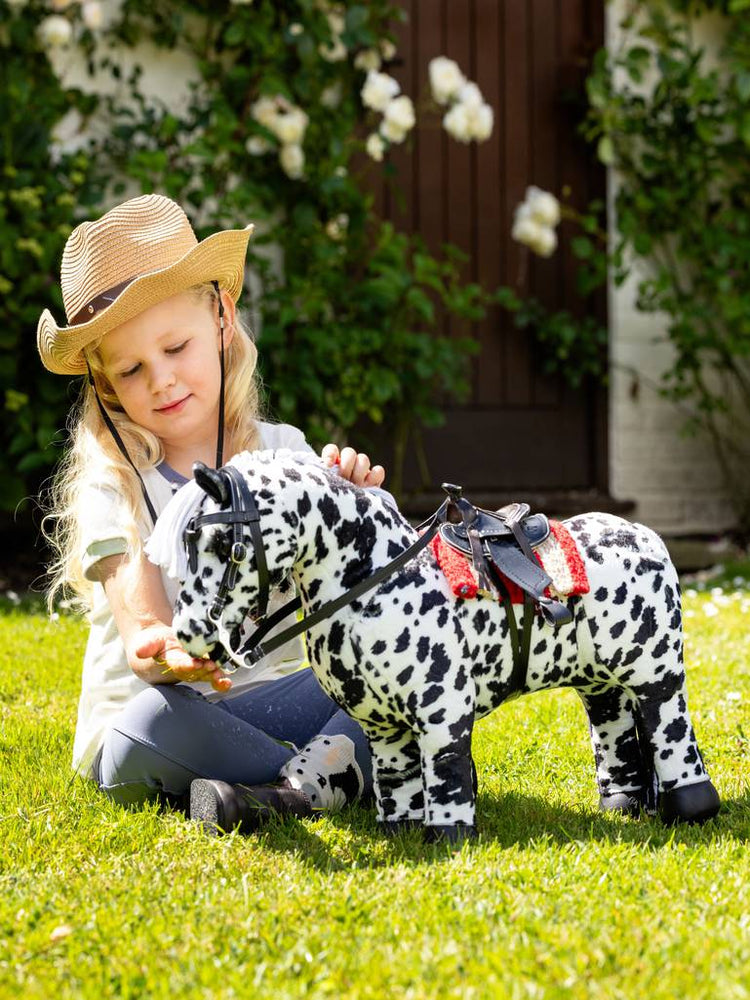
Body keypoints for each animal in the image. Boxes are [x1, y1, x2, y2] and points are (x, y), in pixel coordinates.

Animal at [148, 450, 724, 840]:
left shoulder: (442, 715)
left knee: (667, 728)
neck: (375, 578)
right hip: (599, 684)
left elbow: (444, 770)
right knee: (615, 729)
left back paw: (691, 808)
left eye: (226, 545)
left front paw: (449, 837)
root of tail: (647, 537)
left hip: (655, 677)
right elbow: (396, 779)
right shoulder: (382, 727)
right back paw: (622, 808)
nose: (190, 634)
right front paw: (402, 831)